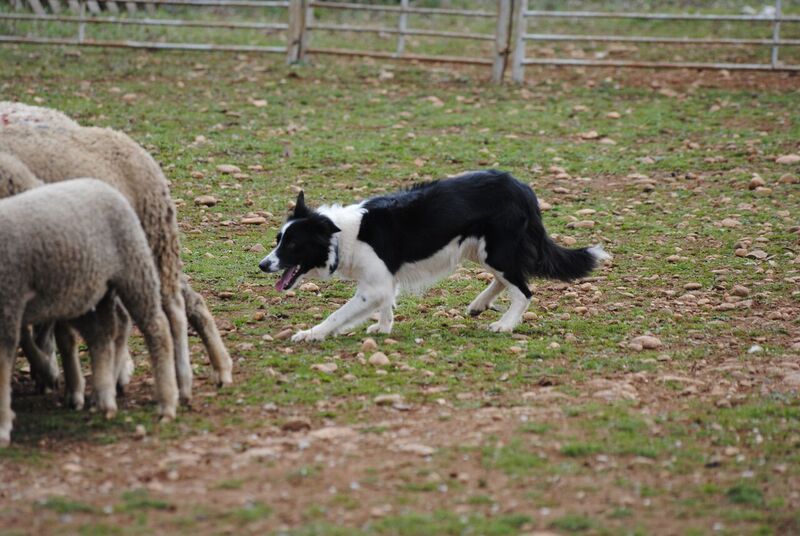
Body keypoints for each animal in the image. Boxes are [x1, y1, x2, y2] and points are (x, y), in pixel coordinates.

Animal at [0, 178, 178, 446]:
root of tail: (100, 184)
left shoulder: (10, 301)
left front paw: (3, 426)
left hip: (133, 269)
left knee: (157, 328)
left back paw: (167, 404)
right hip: (87, 291)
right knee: (103, 336)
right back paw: (105, 398)